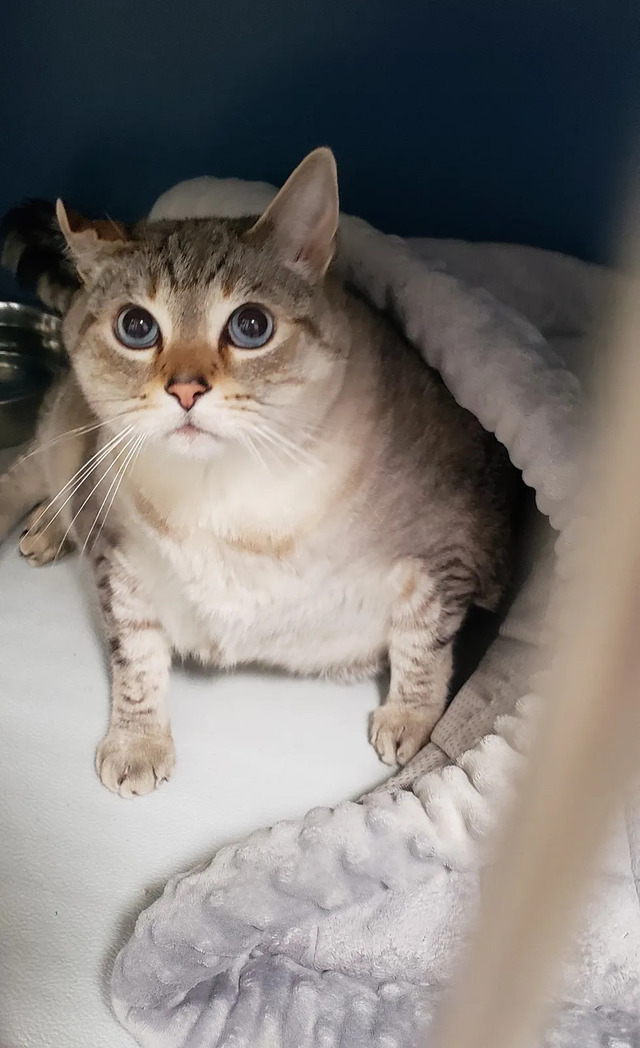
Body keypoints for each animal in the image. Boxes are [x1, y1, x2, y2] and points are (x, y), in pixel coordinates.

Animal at [0, 149, 513, 792]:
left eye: (251, 326)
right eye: (136, 328)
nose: (186, 389)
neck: (227, 504)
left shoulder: (450, 550)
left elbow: (424, 643)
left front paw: (411, 722)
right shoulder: (118, 560)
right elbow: (135, 657)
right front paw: (137, 743)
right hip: (63, 436)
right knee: (26, 475)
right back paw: (43, 527)